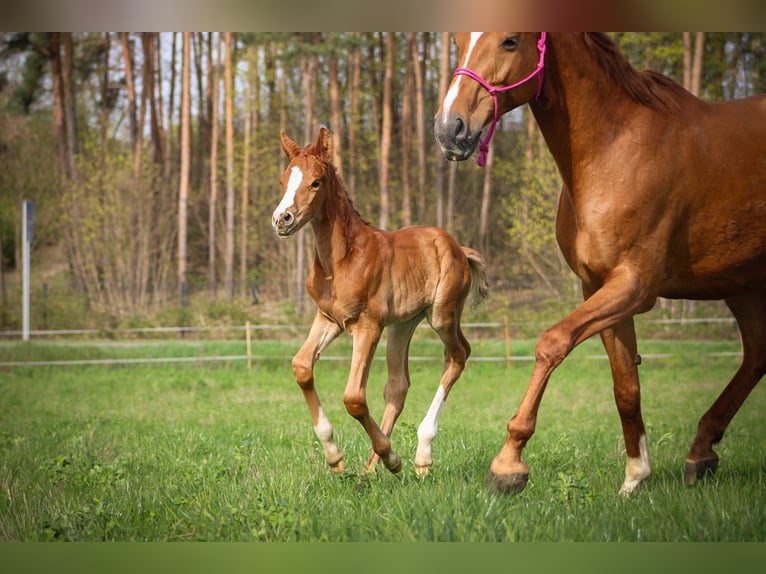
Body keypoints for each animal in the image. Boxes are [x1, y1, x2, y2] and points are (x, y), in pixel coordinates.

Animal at [272, 129, 488, 476]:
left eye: (316, 182)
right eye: (283, 180)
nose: (282, 219)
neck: (341, 260)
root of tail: (458, 248)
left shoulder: (368, 325)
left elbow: (354, 397)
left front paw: (392, 457)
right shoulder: (329, 318)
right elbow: (302, 367)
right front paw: (335, 456)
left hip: (441, 315)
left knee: (458, 355)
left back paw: (420, 456)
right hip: (403, 323)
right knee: (398, 384)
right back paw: (371, 468)